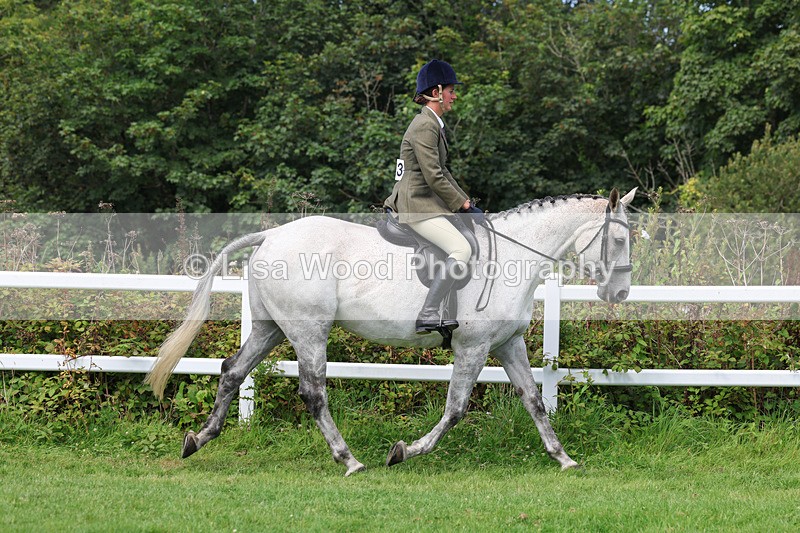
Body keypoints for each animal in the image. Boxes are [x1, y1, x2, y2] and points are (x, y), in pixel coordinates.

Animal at [146, 188, 636, 476]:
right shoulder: (474, 347)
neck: (515, 257)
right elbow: (456, 409)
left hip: (270, 328)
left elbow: (534, 401)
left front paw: (563, 457)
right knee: (313, 392)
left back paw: (198, 440)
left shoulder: (507, 343)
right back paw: (349, 460)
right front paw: (405, 450)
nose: (620, 293)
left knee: (232, 370)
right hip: (308, 331)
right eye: (618, 240)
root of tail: (271, 235)